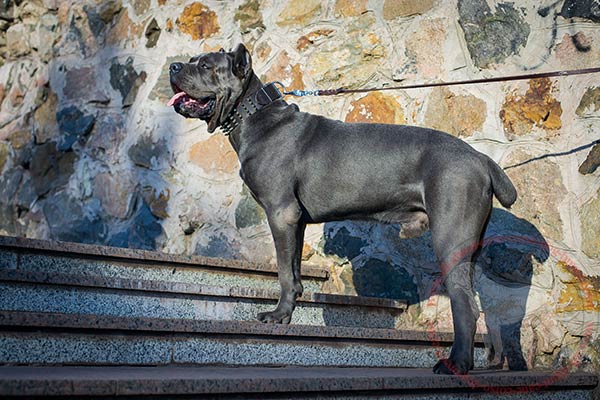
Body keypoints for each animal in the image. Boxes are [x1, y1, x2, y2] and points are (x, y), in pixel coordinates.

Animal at [169, 43, 516, 376]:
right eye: (191, 60)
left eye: (205, 66)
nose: (173, 66)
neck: (253, 115)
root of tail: (480, 157)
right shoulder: (296, 220)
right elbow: (294, 270)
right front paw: (289, 310)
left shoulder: (280, 212)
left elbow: (283, 271)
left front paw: (278, 316)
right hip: (471, 245)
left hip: (450, 237)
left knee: (465, 304)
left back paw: (455, 364)